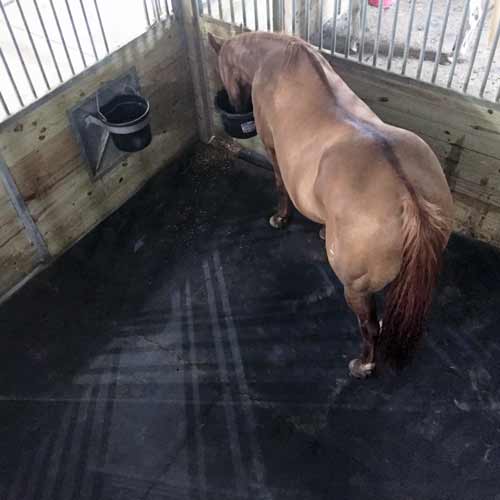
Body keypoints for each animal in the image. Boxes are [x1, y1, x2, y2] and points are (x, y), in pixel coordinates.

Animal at [207, 31, 454, 376]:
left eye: (222, 68)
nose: (233, 104)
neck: (278, 58)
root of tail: (409, 200)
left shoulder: (272, 149)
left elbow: (279, 186)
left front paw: (280, 218)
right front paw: (323, 230)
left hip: (356, 289)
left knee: (369, 328)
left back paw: (363, 365)